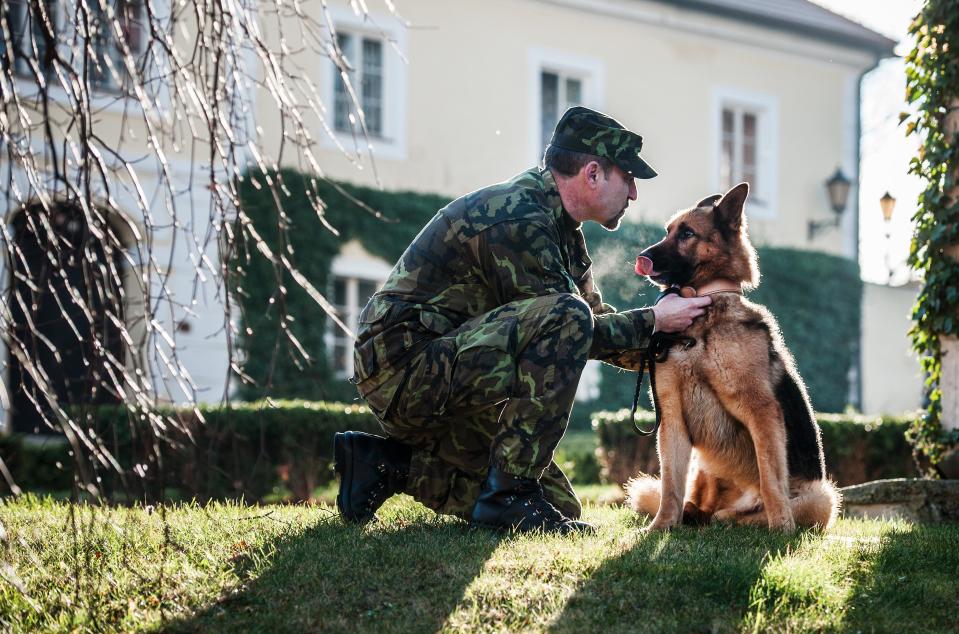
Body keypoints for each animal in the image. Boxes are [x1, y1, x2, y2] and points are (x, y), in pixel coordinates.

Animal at [628, 181, 836, 528]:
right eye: (668, 231)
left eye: (687, 234)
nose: (642, 257)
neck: (704, 315)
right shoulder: (671, 419)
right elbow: (670, 484)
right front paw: (661, 526)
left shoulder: (761, 410)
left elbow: (770, 477)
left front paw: (782, 528)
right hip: (700, 468)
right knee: (694, 501)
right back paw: (693, 514)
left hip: (822, 497)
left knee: (742, 514)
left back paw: (738, 518)